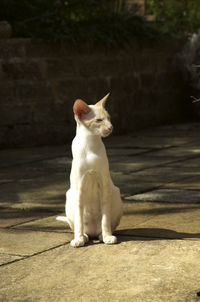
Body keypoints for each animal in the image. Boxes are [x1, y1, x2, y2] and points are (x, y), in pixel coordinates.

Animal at [56, 94, 123, 248]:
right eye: (99, 120)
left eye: (109, 118)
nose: (111, 127)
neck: (91, 144)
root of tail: (92, 231)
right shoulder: (79, 189)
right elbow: (79, 221)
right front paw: (78, 239)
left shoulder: (104, 185)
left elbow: (105, 219)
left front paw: (108, 236)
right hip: (70, 196)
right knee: (80, 227)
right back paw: (83, 237)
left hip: (115, 193)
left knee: (105, 226)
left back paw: (103, 235)